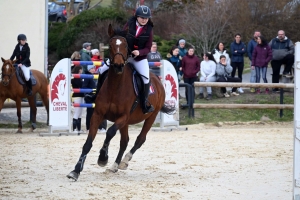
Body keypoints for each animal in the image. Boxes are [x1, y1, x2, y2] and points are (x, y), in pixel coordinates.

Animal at [67, 24, 175, 180]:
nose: (118, 66)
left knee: (139, 139)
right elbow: (88, 143)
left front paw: (103, 158)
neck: (115, 87)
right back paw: (114, 166)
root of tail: (157, 81)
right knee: (124, 141)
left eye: (125, 45)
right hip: (127, 123)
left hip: (150, 117)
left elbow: (110, 133)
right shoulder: (98, 115)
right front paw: (76, 170)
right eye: (111, 44)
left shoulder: (122, 117)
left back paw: (124, 161)